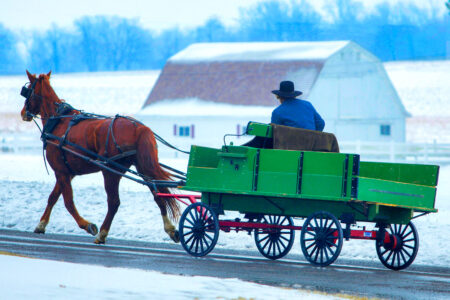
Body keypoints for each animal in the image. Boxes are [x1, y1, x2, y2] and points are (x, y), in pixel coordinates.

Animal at [18, 71, 181, 245]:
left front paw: (87, 225)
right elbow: (53, 197)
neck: (58, 122)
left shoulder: (61, 172)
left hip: (110, 171)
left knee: (114, 202)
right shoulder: (68, 173)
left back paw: (102, 233)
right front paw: (41, 225)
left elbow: (68, 202)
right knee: (158, 194)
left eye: (27, 90)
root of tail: (140, 128)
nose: (23, 113)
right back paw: (170, 229)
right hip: (142, 166)